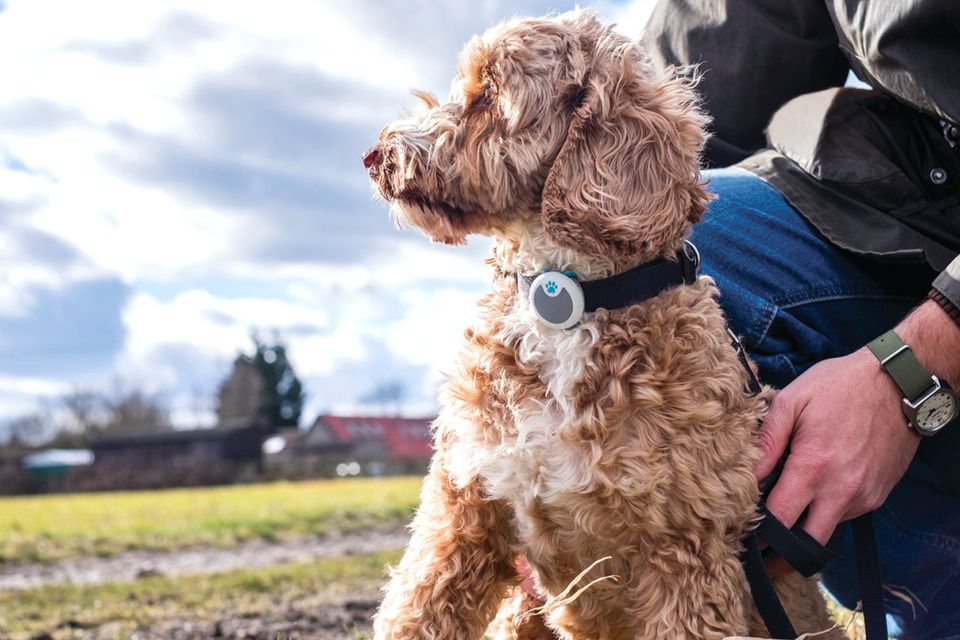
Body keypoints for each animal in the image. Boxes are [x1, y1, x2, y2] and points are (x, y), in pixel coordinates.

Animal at [362, 10, 840, 640]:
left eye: (488, 95)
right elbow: (415, 610)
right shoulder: (463, 511)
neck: (562, 295)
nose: (375, 155)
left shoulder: (684, 550)